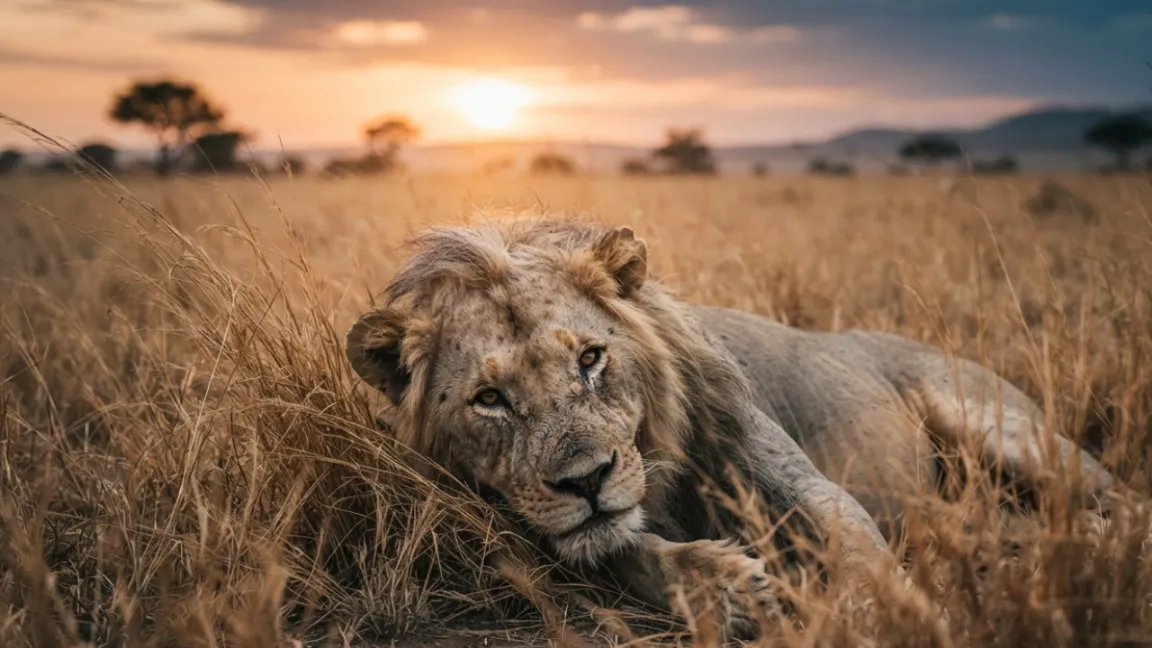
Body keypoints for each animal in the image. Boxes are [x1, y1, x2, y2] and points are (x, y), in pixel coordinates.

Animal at [345, 219, 1128, 634]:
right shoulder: (548, 529)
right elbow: (626, 552)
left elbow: (862, 562)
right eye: (490, 400)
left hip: (997, 425)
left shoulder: (800, 481)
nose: (587, 480)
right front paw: (727, 587)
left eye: (592, 358)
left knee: (1119, 497)